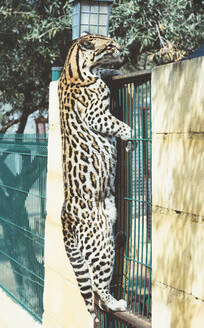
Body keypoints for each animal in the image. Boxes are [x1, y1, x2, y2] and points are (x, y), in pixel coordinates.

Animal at [58, 34, 133, 322]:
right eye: (109, 45)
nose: (122, 49)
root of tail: (65, 220)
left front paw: (112, 70)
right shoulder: (96, 115)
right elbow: (121, 125)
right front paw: (129, 138)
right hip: (101, 247)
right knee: (97, 287)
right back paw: (116, 304)